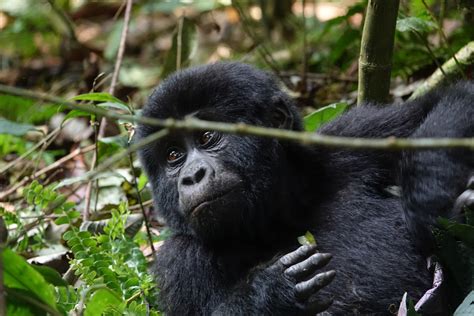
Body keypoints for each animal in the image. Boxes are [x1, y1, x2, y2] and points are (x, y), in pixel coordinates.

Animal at [137, 63, 474, 314]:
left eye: (207, 137)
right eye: (173, 156)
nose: (191, 176)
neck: (282, 215)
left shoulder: (350, 135)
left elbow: (454, 97)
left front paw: (427, 203)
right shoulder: (180, 262)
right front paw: (270, 293)